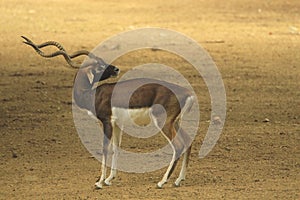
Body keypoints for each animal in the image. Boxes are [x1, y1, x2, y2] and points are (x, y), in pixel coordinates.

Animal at [21, 36, 195, 189]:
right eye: (99, 65)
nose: (116, 69)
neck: (92, 94)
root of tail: (187, 92)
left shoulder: (106, 121)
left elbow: (104, 148)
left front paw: (99, 182)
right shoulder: (116, 124)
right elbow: (115, 148)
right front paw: (109, 179)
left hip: (163, 122)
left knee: (178, 145)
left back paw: (161, 182)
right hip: (175, 122)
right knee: (187, 141)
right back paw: (178, 180)